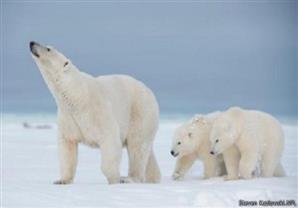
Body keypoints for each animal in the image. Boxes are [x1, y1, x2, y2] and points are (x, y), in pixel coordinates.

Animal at [29, 41, 161, 184]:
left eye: (48, 49)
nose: (32, 42)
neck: (77, 95)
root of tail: (149, 91)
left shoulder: (98, 111)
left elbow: (110, 141)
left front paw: (114, 178)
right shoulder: (68, 117)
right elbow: (67, 147)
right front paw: (62, 180)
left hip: (140, 112)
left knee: (137, 146)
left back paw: (129, 178)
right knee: (146, 151)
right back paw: (154, 178)